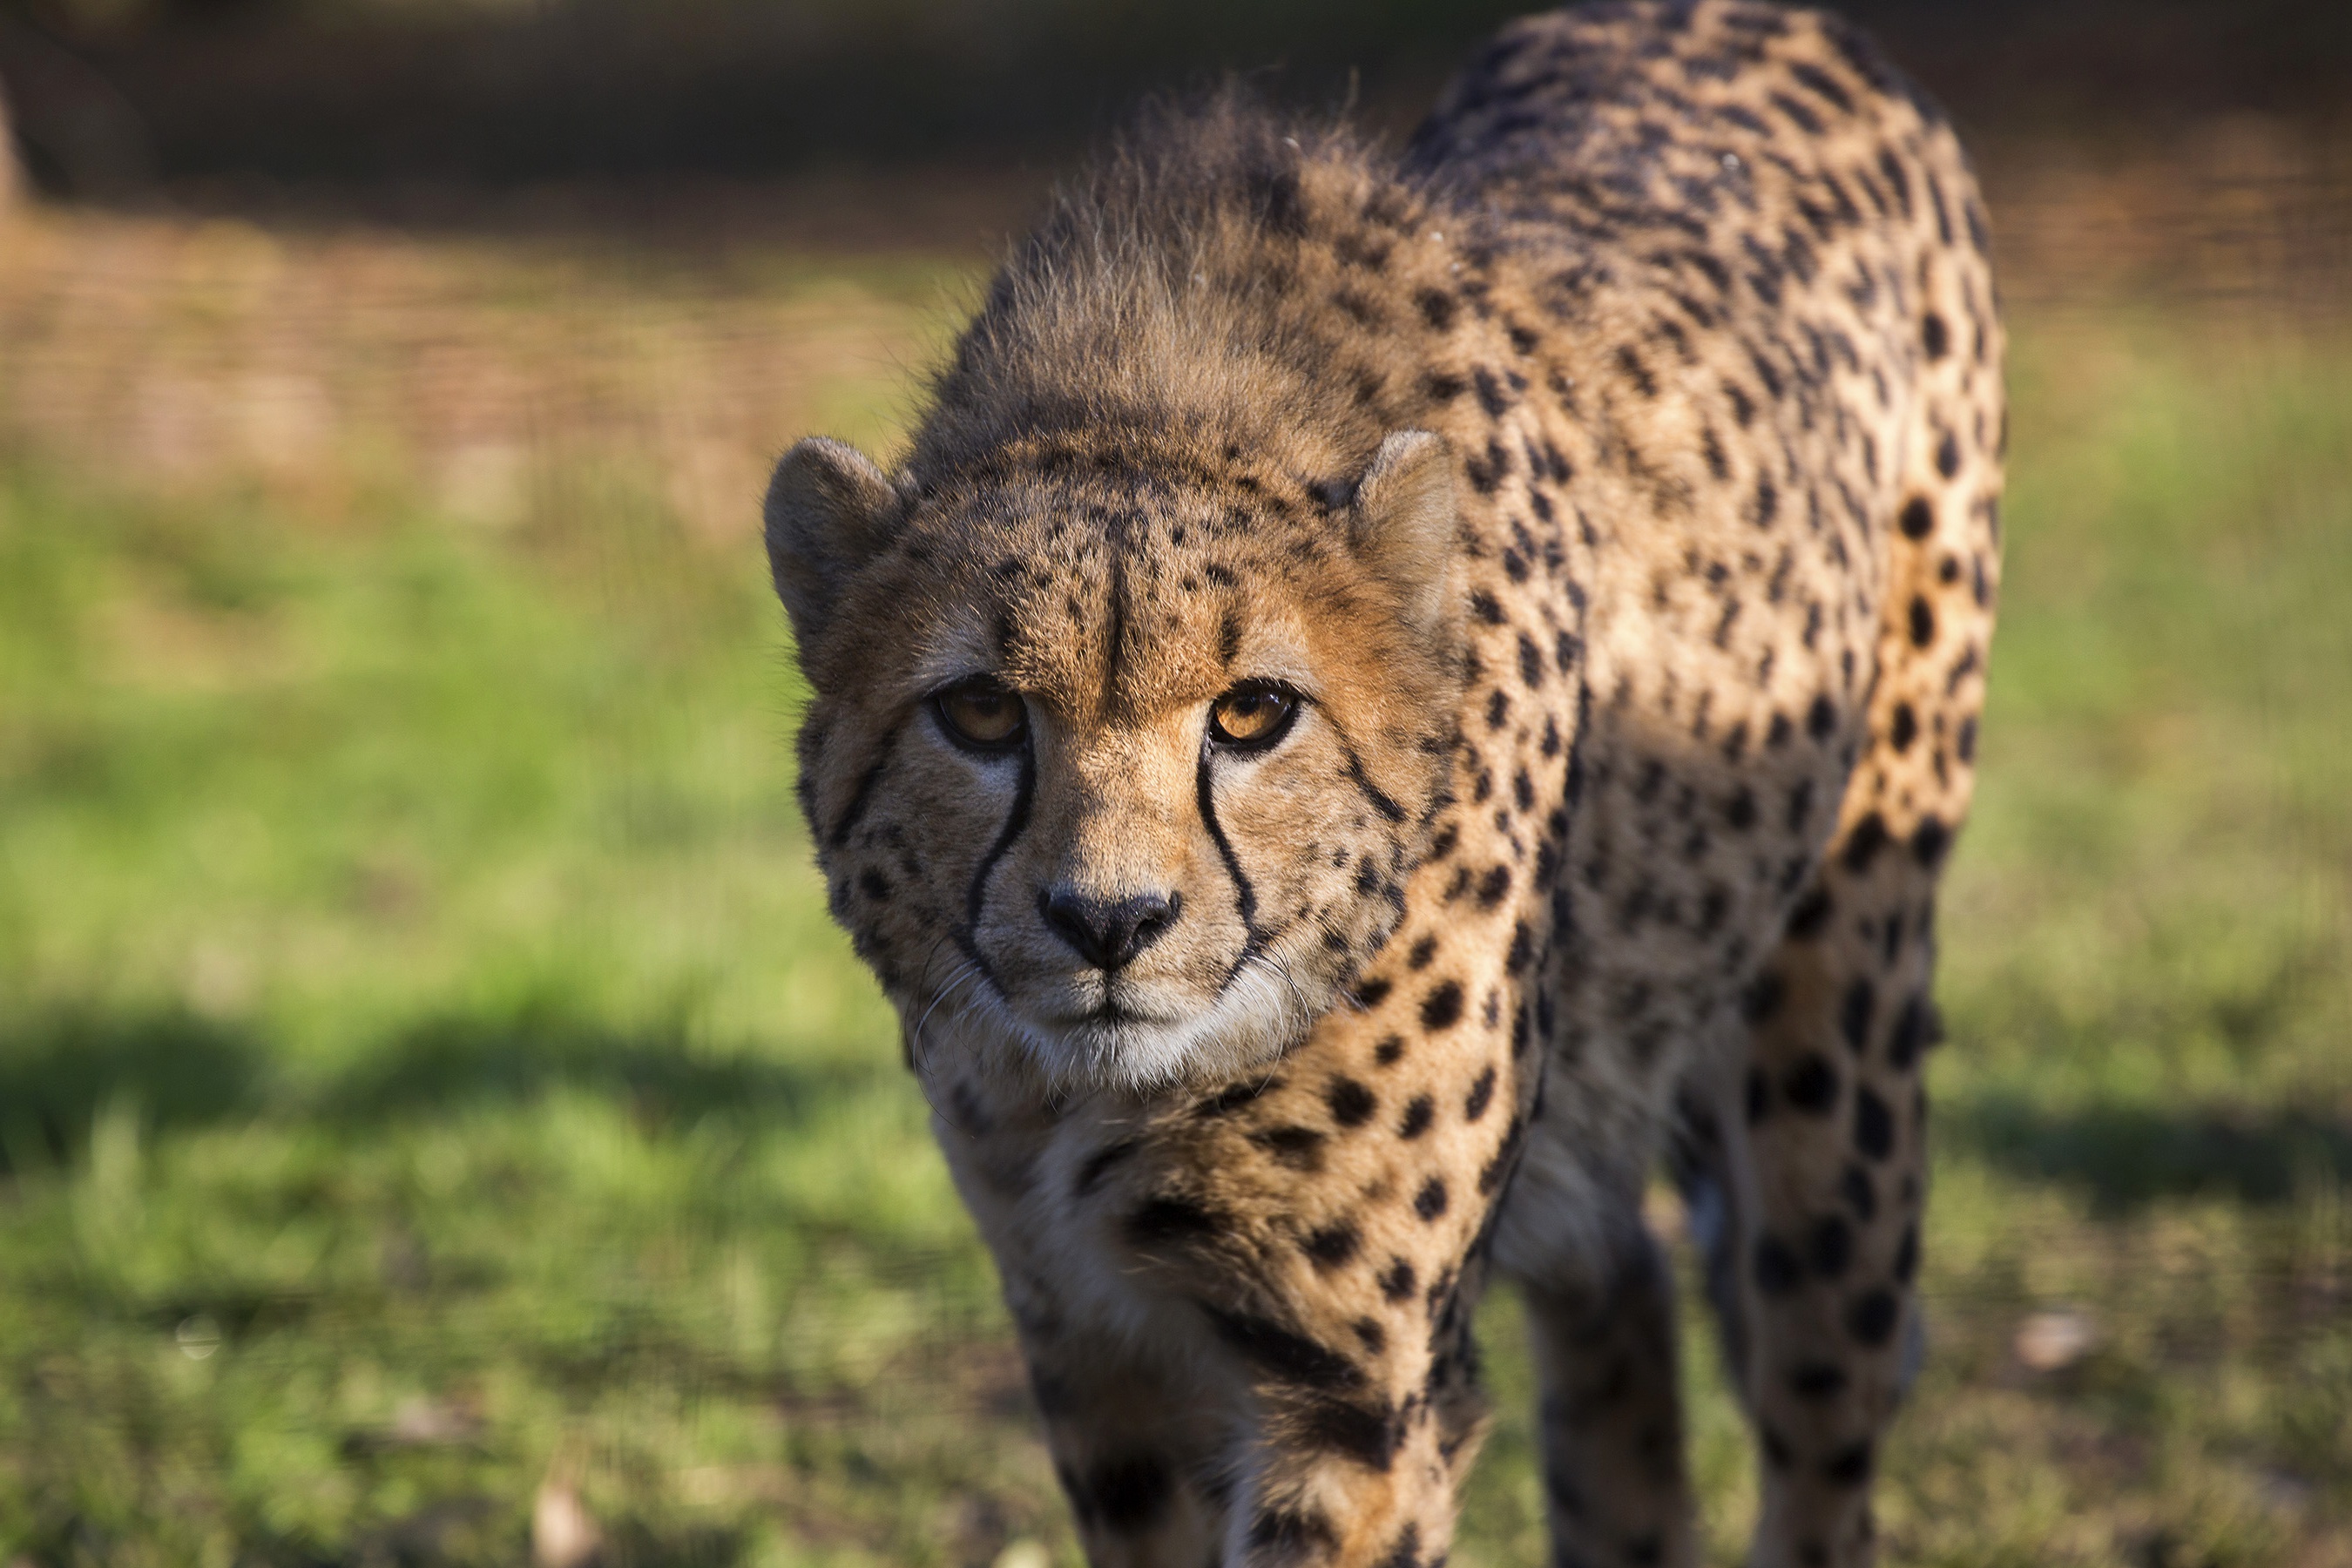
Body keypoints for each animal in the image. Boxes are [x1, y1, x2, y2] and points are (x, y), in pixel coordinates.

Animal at [767, 6, 2004, 1560]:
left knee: (1821, 1391)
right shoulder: (1093, 1347)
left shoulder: (1347, 1401)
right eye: (982, 712)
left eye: (1253, 712)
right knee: (1617, 1284)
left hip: (1840, 1029)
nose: (1109, 925)